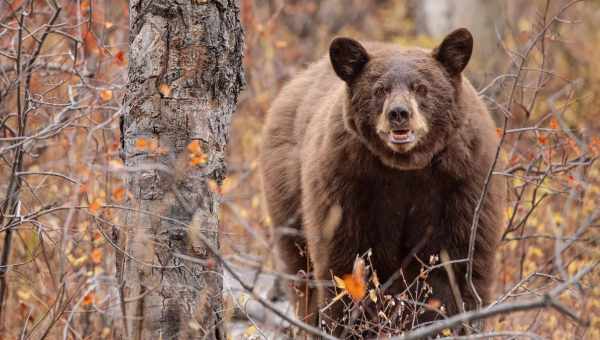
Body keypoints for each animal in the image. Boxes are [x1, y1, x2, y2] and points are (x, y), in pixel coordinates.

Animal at [260, 27, 504, 334]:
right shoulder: (346, 183)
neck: (404, 169)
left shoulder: (461, 184)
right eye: (379, 90)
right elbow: (345, 262)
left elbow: (457, 266)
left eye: (421, 88)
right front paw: (348, 325)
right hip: (288, 194)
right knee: (301, 274)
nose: (399, 113)